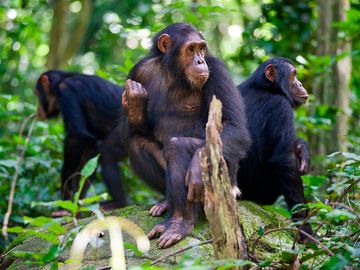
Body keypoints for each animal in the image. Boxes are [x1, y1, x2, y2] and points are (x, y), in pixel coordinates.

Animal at [33, 71, 129, 211]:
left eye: (37, 93)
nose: (38, 108)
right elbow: (88, 151)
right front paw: (74, 204)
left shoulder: (66, 92)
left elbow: (77, 137)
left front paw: (66, 193)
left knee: (106, 154)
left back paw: (119, 203)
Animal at [122, 23, 252, 249]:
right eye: (191, 49)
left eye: (201, 48)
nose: (200, 61)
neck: (174, 72)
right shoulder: (139, 72)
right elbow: (136, 132)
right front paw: (135, 102)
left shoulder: (217, 70)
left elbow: (234, 126)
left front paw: (197, 169)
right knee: (137, 143)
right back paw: (167, 204)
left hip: (227, 183)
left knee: (177, 146)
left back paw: (179, 224)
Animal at [236, 57, 312, 236]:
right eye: (293, 75)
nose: (300, 83)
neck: (264, 87)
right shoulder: (282, 108)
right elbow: (285, 161)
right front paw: (305, 229)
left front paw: (302, 149)